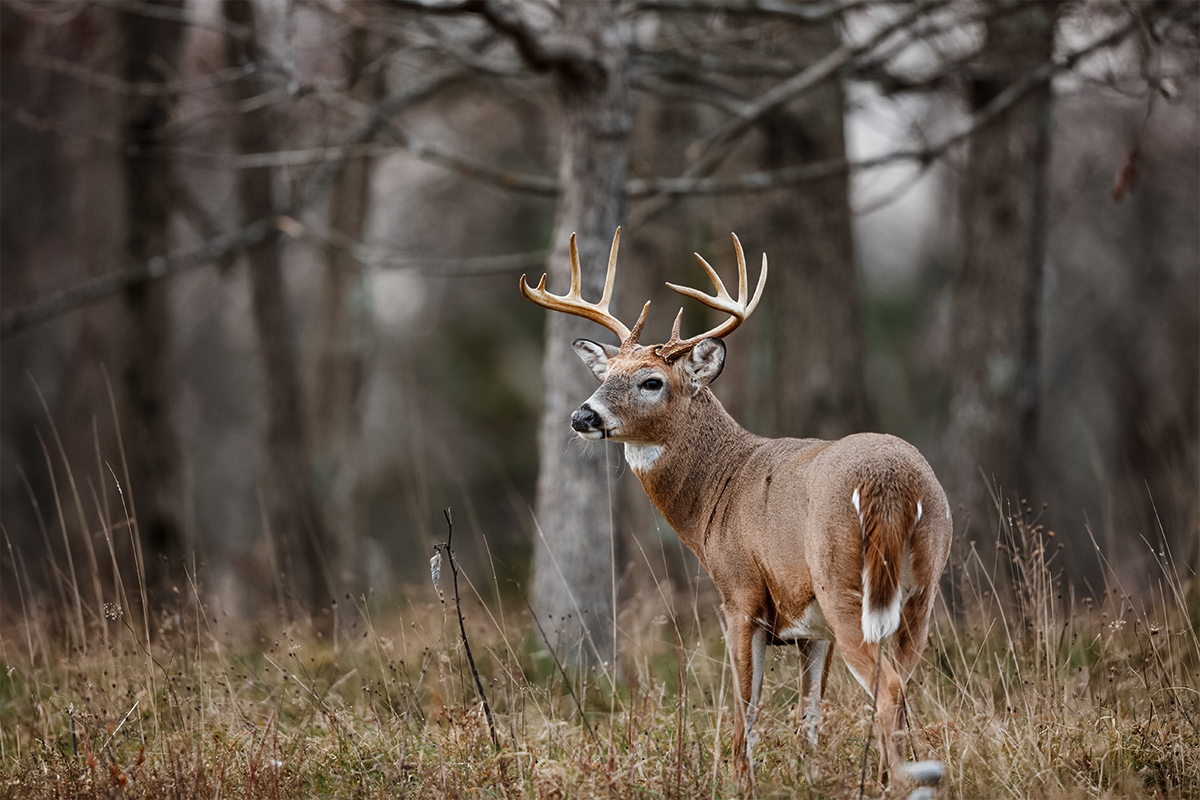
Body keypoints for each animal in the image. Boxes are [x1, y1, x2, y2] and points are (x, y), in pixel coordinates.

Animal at [520, 227, 950, 786]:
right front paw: (807, 778)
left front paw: (740, 778)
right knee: (904, 681)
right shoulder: (811, 628)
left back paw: (895, 784)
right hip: (921, 589)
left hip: (844, 583)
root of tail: (891, 482)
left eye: (651, 381)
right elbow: (809, 715)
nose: (582, 416)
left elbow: (745, 705)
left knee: (890, 689)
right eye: (605, 373)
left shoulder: (740, 593)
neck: (717, 493)